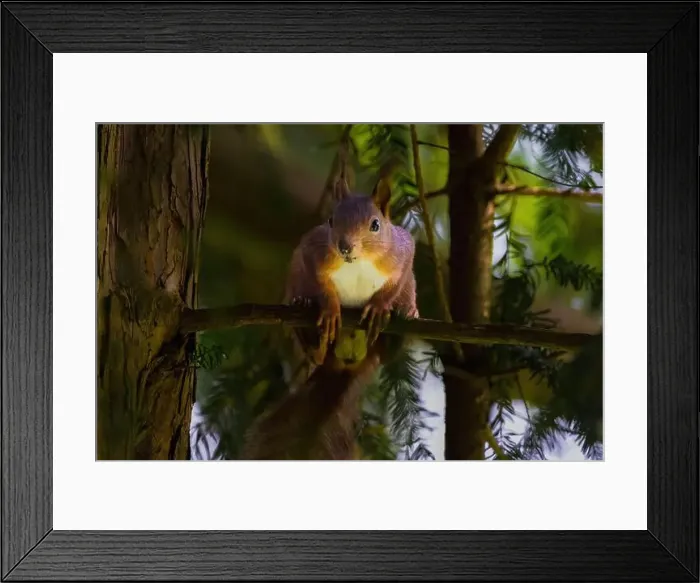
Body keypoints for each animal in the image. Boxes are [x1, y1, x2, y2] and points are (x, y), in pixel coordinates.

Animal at [239, 176, 419, 460]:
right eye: (331, 221)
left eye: (375, 225)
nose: (344, 247)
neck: (358, 263)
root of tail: (348, 361)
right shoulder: (313, 250)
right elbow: (322, 285)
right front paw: (331, 310)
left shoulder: (402, 251)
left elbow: (395, 282)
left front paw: (380, 307)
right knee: (317, 353)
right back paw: (312, 325)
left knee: (389, 350)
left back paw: (403, 318)